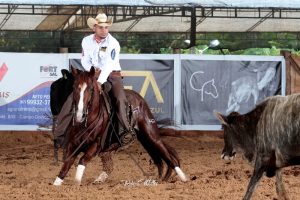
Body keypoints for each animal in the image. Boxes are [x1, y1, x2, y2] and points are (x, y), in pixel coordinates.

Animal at [52, 66, 186, 185]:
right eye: (74, 88)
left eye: (90, 89)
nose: (80, 114)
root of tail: (140, 99)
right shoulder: (73, 144)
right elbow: (66, 163)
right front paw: (57, 182)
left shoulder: (96, 145)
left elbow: (82, 160)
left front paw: (77, 180)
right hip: (143, 139)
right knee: (158, 160)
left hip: (151, 134)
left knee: (167, 155)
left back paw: (183, 177)